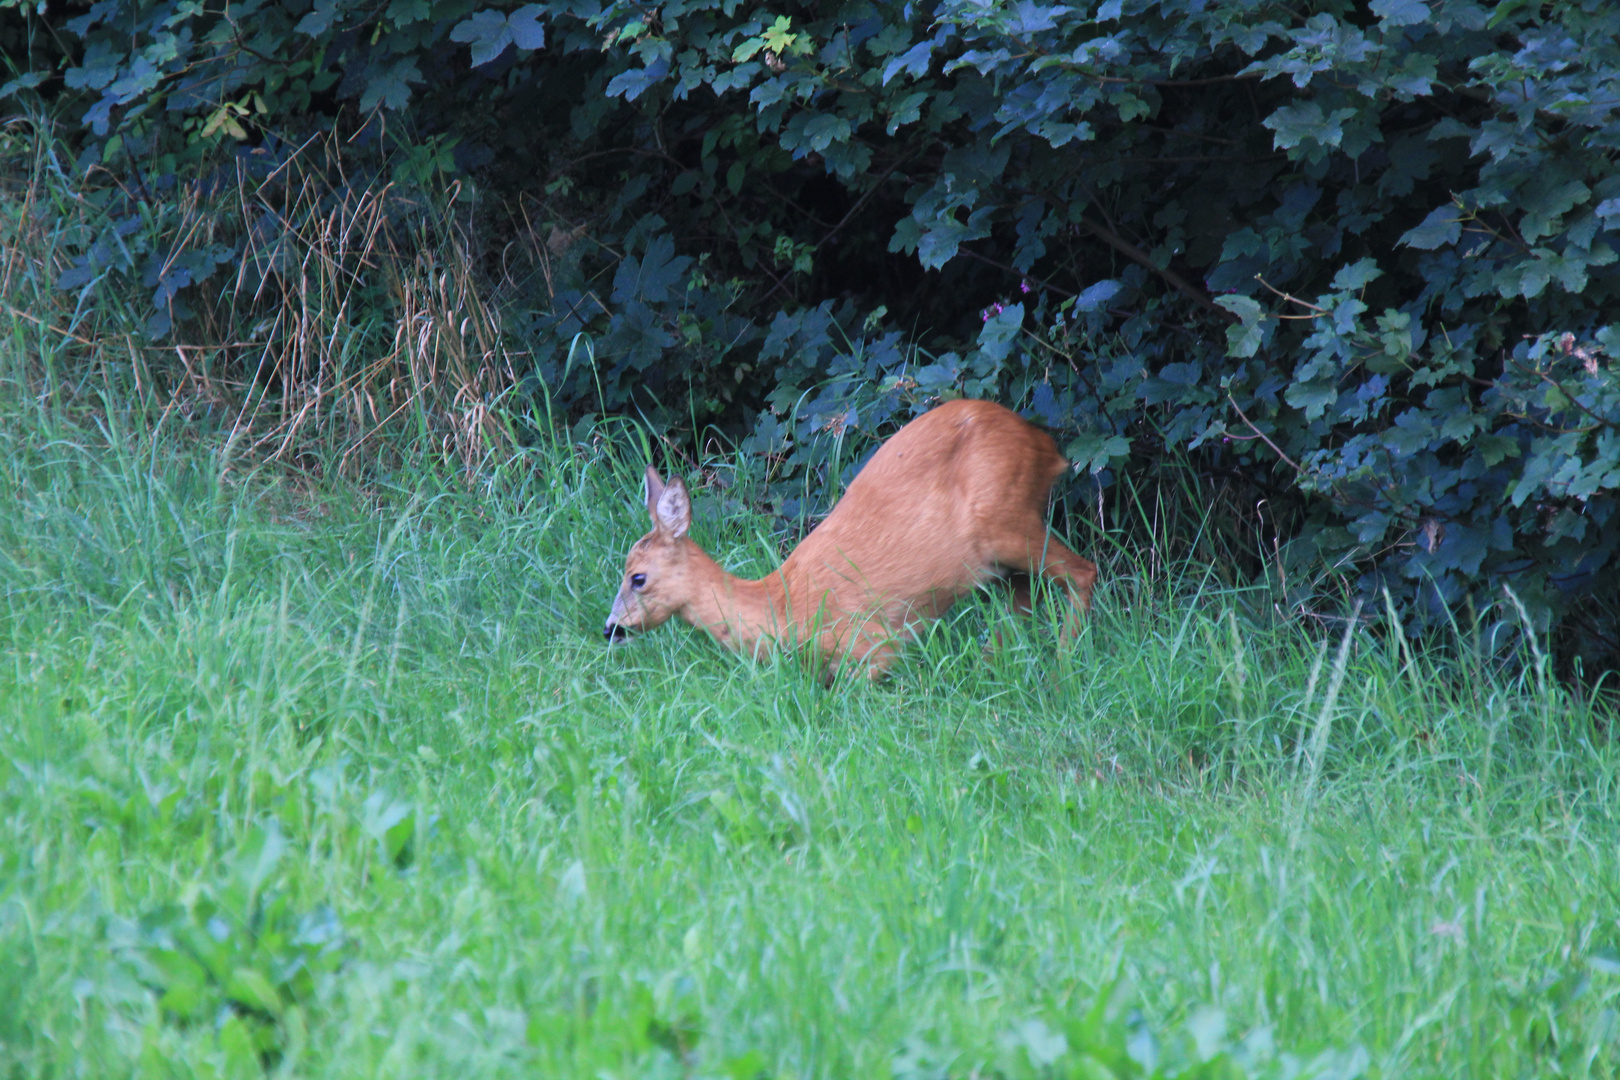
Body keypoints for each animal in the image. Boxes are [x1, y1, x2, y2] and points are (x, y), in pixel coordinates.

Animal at [602, 396, 1095, 683]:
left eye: (637, 577)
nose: (611, 628)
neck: (781, 609)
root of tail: (1047, 447)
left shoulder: (873, 640)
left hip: (1006, 519)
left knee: (1082, 571)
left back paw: (1062, 667)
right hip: (1000, 554)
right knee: (1024, 599)